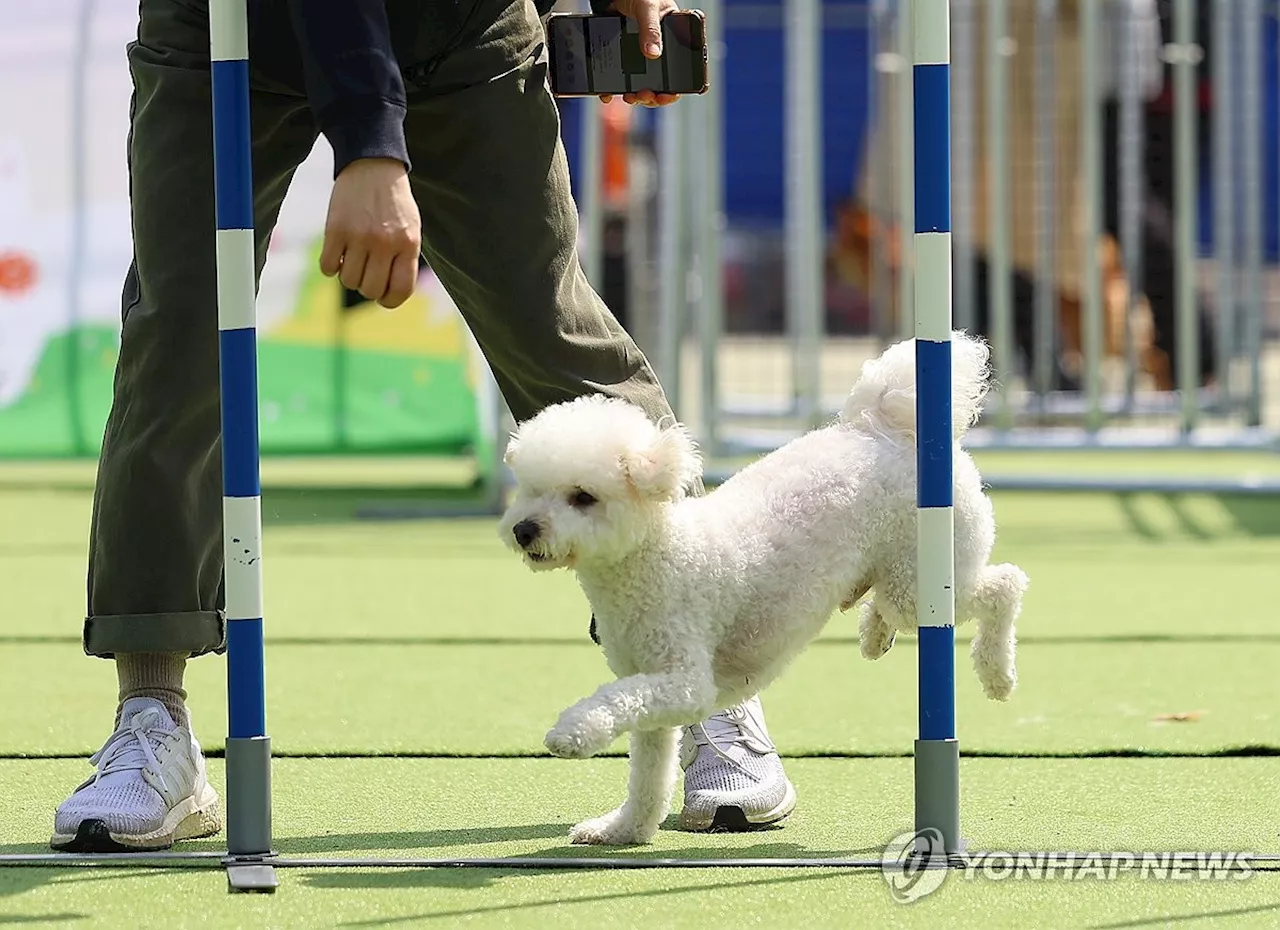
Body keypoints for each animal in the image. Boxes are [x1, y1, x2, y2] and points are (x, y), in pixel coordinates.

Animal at [499, 330, 1029, 849]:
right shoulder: (648, 685)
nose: (524, 530)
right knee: (895, 603)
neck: (657, 552)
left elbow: (615, 702)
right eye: (530, 488)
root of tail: (882, 424)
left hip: (924, 580)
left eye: (583, 497)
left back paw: (998, 674)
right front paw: (623, 830)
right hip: (903, 575)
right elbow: (647, 775)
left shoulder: (682, 681)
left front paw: (573, 733)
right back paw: (876, 635)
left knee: (1005, 585)